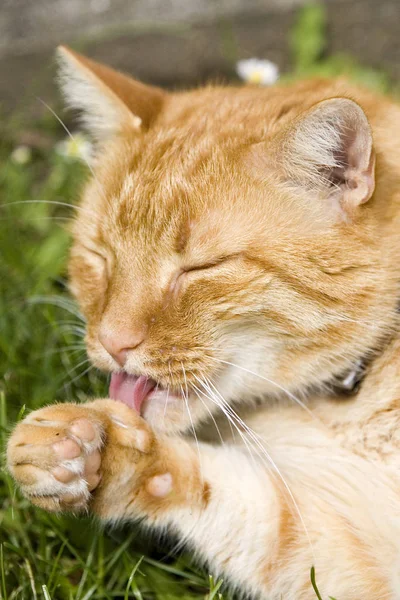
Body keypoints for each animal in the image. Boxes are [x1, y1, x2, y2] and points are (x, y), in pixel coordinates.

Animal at [6, 48, 400, 600]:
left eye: (200, 268)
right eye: (100, 256)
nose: (113, 342)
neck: (350, 400)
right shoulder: (340, 551)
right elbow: (238, 501)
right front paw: (90, 453)